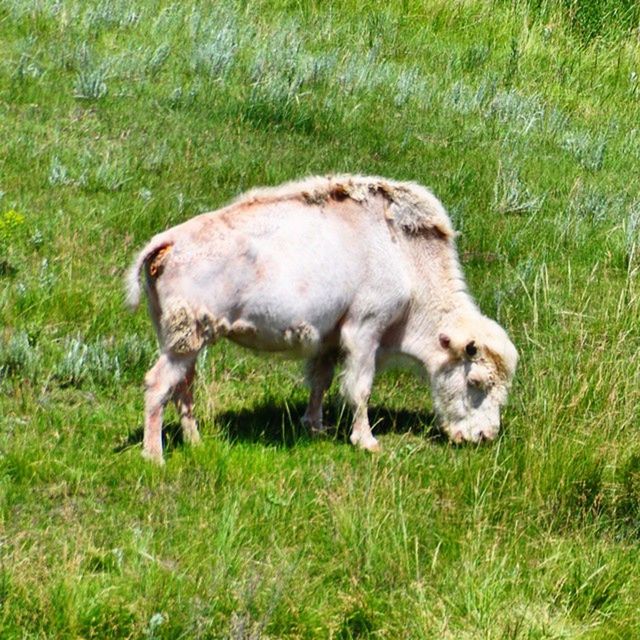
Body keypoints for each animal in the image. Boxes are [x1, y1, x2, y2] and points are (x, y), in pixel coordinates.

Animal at [127, 176, 516, 464]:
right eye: (476, 382)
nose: (484, 436)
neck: (404, 258)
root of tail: (168, 241)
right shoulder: (365, 331)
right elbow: (360, 388)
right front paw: (367, 441)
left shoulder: (329, 339)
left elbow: (321, 380)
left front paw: (315, 427)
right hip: (183, 342)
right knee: (158, 384)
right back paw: (155, 456)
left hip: (188, 342)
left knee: (184, 386)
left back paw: (196, 442)